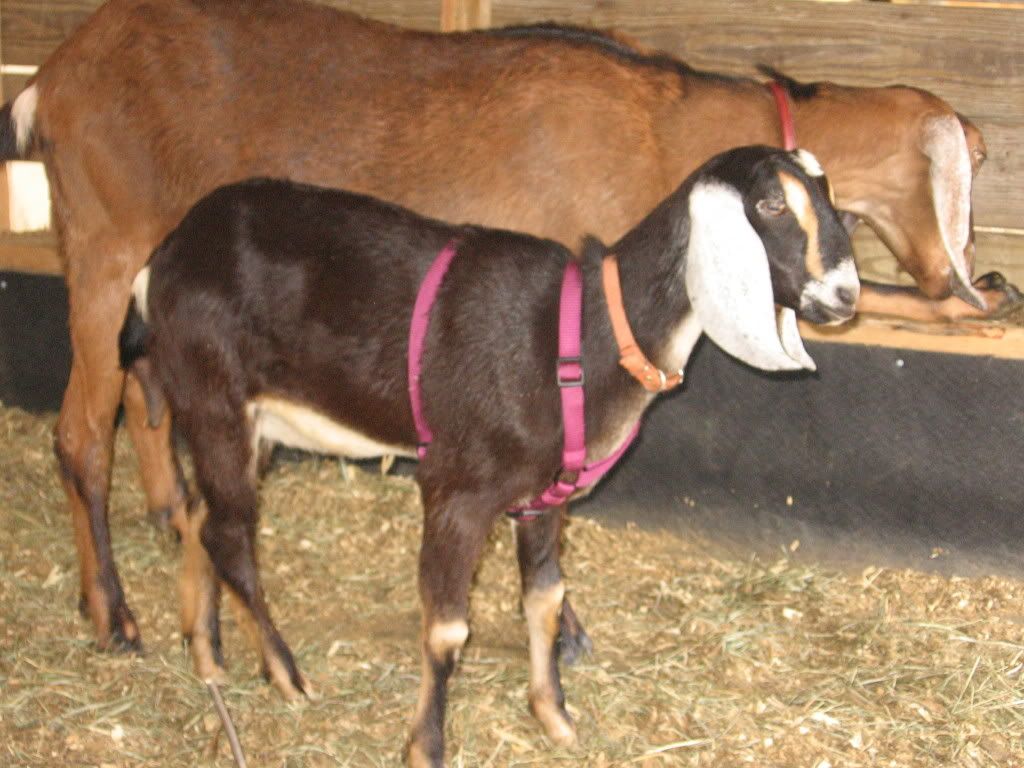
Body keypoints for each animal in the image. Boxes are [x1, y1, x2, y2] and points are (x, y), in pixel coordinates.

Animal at [0, 0, 994, 654]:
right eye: (972, 166)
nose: (847, 293)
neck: (663, 127)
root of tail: (50, 78)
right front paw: (557, 624)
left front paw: (978, 295)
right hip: (105, 241)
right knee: (80, 431)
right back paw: (113, 614)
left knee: (143, 390)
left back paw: (171, 519)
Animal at [118, 145, 859, 766]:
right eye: (770, 205)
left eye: (829, 195)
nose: (846, 294)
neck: (581, 334)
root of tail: (162, 260)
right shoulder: (457, 490)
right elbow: (448, 630)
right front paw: (427, 746)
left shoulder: (543, 500)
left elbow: (545, 602)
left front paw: (556, 718)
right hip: (216, 400)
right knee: (230, 532)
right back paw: (285, 673)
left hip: (245, 424)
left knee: (197, 516)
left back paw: (207, 654)